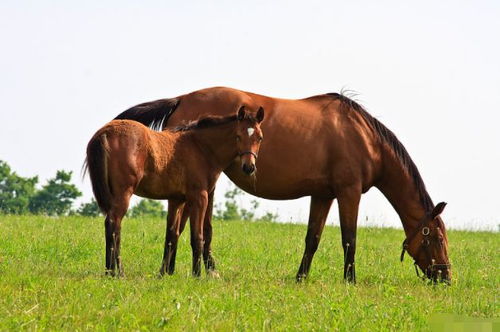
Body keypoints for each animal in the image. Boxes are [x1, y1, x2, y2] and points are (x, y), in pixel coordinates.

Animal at [86, 107, 266, 278]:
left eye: (260, 137)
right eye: (238, 136)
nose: (249, 167)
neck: (200, 148)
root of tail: (105, 132)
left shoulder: (176, 199)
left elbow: (171, 235)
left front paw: (164, 273)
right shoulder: (199, 197)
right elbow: (197, 237)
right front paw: (196, 275)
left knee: (113, 227)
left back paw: (110, 272)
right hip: (124, 193)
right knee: (113, 225)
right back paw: (117, 273)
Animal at [115, 87, 452, 284]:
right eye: (436, 238)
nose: (446, 276)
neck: (362, 137)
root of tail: (181, 99)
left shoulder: (323, 195)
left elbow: (313, 238)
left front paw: (301, 277)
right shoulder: (348, 192)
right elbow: (349, 239)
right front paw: (350, 280)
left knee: (180, 226)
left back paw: (169, 271)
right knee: (193, 227)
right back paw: (199, 271)